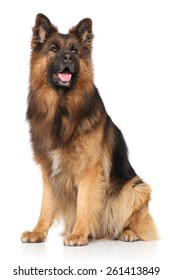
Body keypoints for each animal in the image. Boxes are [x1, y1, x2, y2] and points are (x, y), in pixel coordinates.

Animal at [21, 14, 157, 245]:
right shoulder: (49, 172)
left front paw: (78, 234)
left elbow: (85, 205)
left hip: (136, 188)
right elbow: (45, 207)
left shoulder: (90, 172)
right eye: (53, 49)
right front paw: (38, 232)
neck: (62, 109)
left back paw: (128, 233)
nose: (68, 58)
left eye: (75, 51)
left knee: (138, 221)